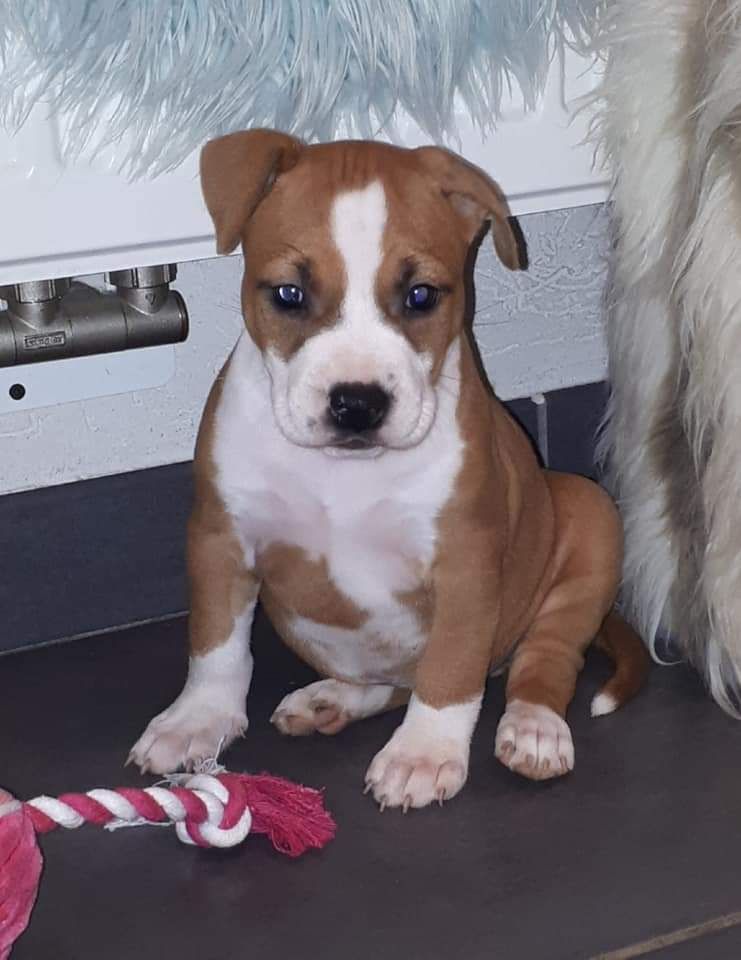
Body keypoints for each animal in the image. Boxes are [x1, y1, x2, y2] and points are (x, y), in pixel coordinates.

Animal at [129, 130, 650, 810]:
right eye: (289, 295)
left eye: (421, 296)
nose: (357, 403)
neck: (345, 471)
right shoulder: (221, 537)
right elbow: (216, 645)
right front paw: (197, 719)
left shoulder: (466, 561)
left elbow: (450, 668)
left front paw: (424, 754)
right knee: (391, 680)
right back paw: (332, 700)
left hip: (588, 515)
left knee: (545, 659)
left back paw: (533, 728)